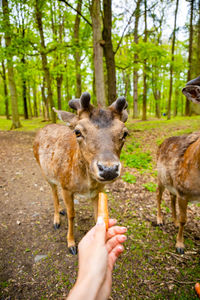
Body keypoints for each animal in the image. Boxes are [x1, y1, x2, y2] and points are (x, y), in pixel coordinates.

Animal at [32, 92, 128, 254]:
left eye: (125, 133)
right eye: (77, 132)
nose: (108, 169)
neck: (86, 185)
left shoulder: (99, 190)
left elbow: (97, 216)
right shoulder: (66, 187)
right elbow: (72, 214)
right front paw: (71, 244)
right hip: (44, 171)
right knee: (53, 192)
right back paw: (56, 219)